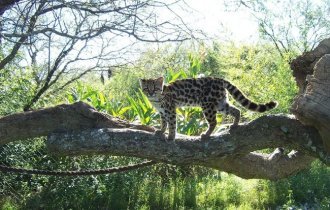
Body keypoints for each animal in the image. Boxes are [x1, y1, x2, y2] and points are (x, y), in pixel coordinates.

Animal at [141, 76, 278, 140]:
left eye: (155, 88)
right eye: (147, 88)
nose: (151, 93)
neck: (156, 100)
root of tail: (218, 79)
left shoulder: (170, 110)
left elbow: (172, 124)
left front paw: (171, 136)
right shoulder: (162, 112)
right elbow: (164, 123)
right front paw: (161, 131)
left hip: (207, 106)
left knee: (214, 122)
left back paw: (206, 134)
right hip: (220, 104)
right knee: (236, 110)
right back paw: (234, 125)